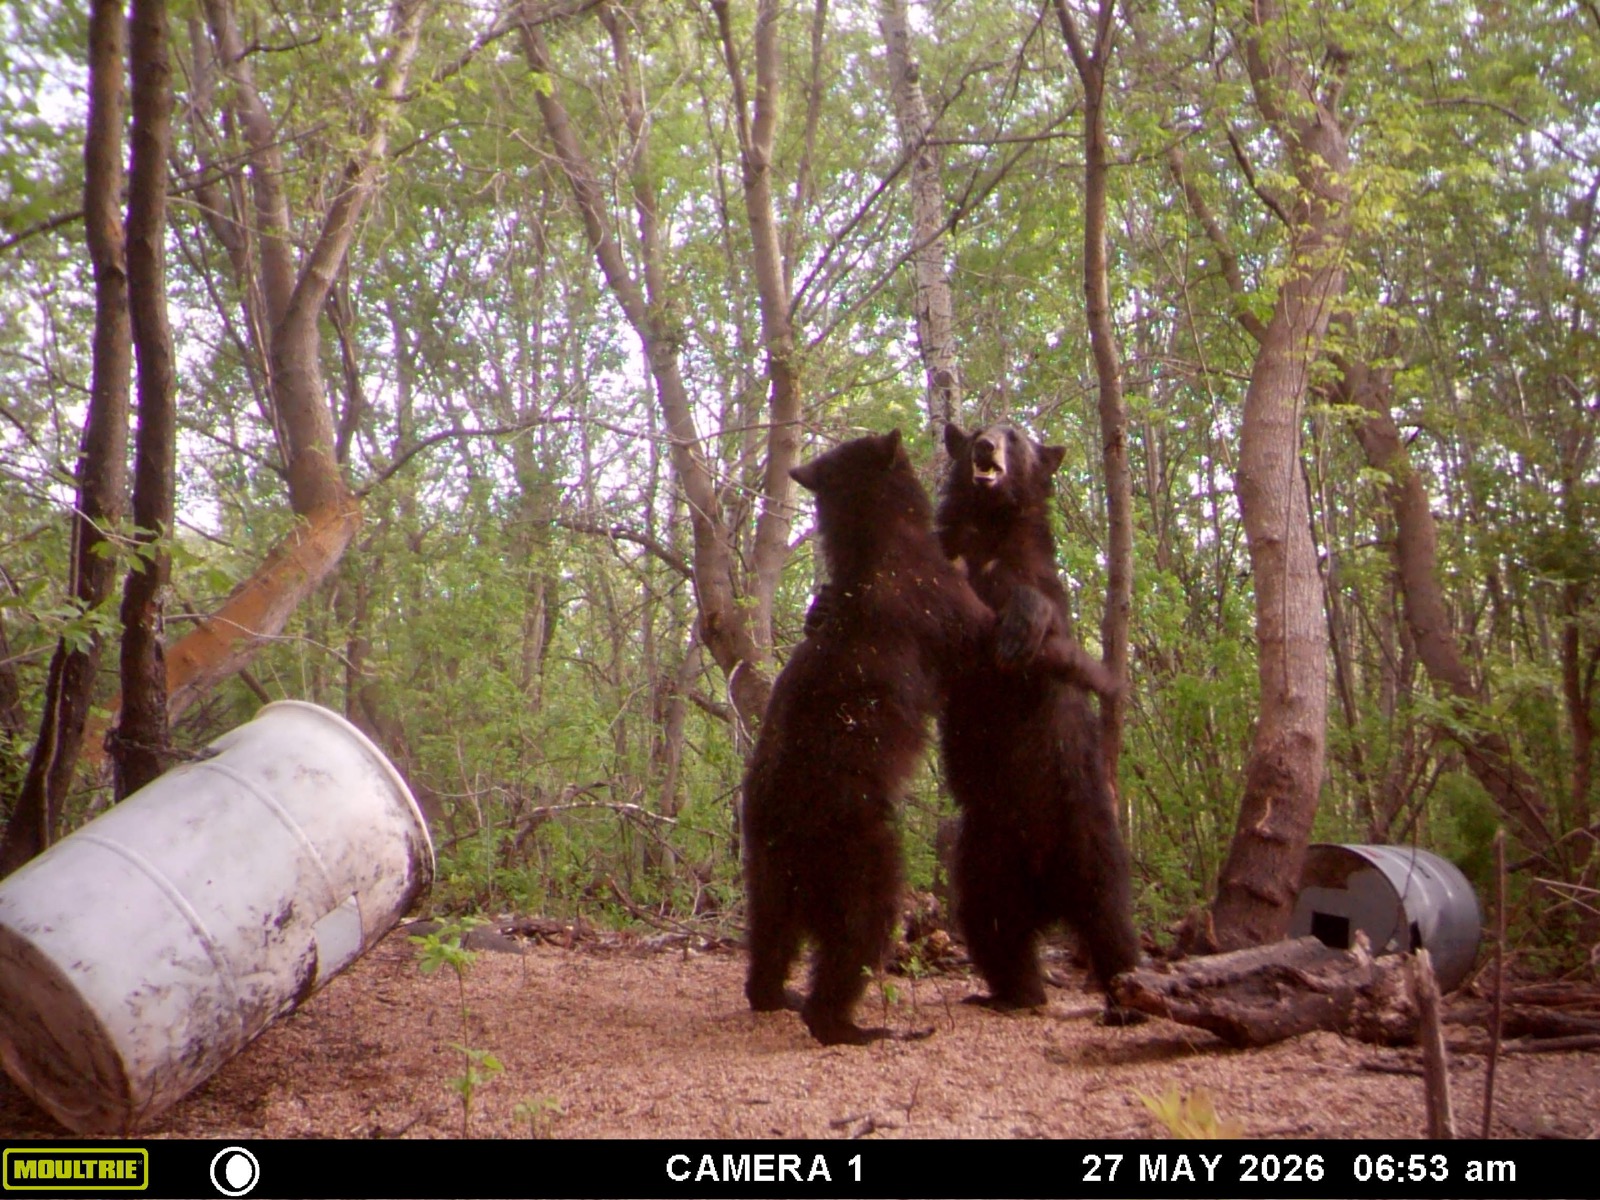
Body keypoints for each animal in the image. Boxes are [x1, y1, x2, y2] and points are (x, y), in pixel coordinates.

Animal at [743, 429, 1098, 1045]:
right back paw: (854, 1025)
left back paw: (775, 994)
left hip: (766, 864)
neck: (876, 546)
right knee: (860, 927)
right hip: (860, 846)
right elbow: (986, 640)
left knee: (770, 933)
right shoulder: (939, 601)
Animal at [936, 420, 1142, 1020]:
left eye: (1015, 436)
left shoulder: (1035, 574)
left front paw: (1018, 634)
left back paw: (1128, 997)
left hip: (1090, 833)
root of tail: (1045, 891)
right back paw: (1010, 994)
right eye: (977, 431)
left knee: (1109, 919)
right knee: (991, 925)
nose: (986, 447)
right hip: (982, 853)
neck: (988, 528)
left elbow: (1041, 609)